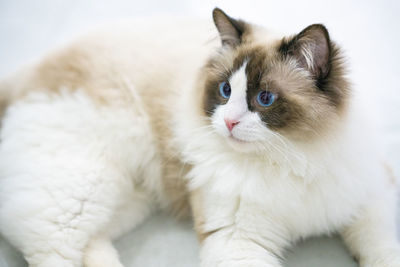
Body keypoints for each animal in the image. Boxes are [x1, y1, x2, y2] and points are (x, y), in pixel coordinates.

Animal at [0, 6, 400, 267]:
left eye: (264, 98)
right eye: (225, 91)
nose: (229, 123)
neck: (294, 156)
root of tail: (32, 69)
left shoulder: (369, 199)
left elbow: (382, 250)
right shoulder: (238, 241)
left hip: (127, 197)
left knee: (90, 243)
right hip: (81, 190)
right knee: (51, 248)